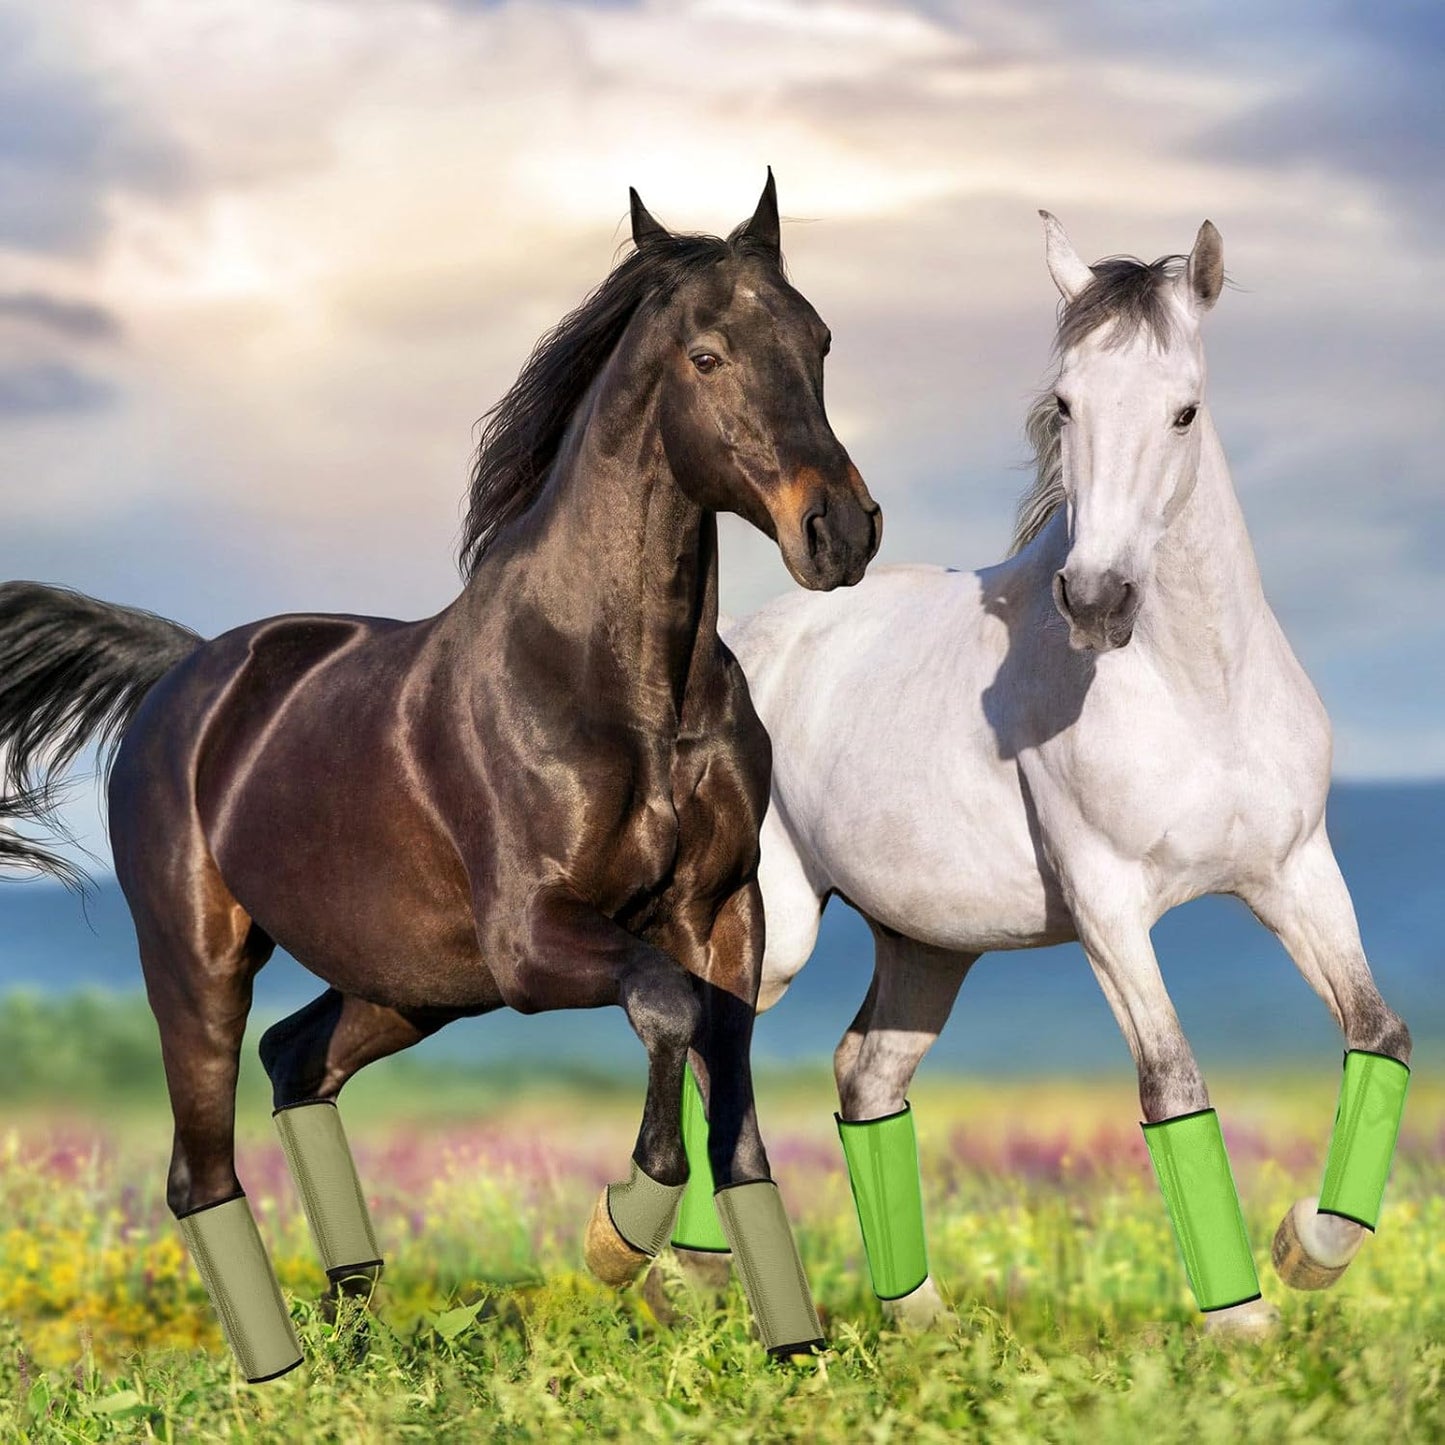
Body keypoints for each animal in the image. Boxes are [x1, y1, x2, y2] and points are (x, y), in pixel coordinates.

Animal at [0, 173, 881, 1380]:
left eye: (819, 339)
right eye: (705, 355)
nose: (840, 531)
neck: (622, 685)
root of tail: (183, 672)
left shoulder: (719, 916)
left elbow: (733, 1107)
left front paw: (794, 1353)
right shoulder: (533, 938)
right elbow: (662, 1011)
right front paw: (617, 1235)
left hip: (409, 984)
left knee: (297, 1061)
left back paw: (357, 1335)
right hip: (201, 959)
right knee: (200, 1168)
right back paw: (281, 1375)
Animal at [722, 213, 1411, 1335]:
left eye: (1183, 408)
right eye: (1065, 404)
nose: (1094, 599)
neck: (1197, 693)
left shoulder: (1294, 872)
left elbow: (1377, 1033)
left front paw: (1305, 1247)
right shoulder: (1107, 906)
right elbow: (1171, 1082)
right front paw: (1242, 1321)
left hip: (927, 944)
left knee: (863, 1074)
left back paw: (919, 1319)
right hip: (775, 927)